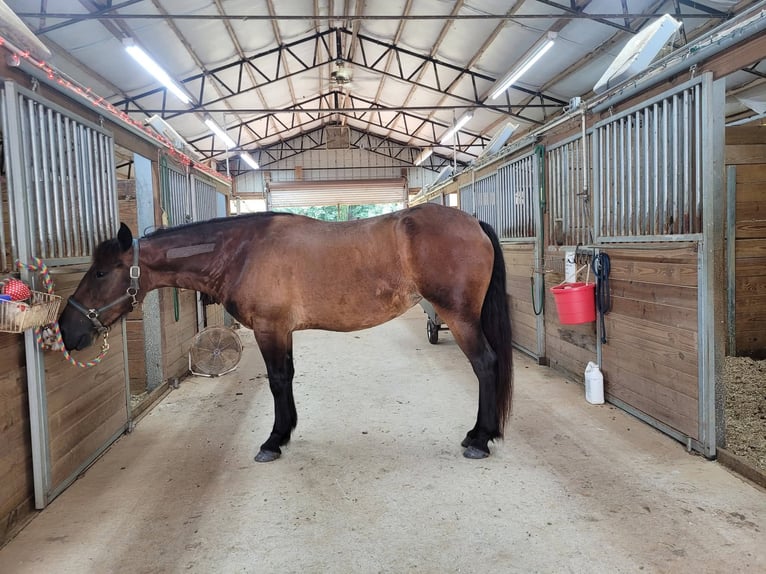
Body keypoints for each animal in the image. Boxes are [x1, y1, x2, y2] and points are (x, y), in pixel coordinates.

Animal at [58, 203, 513, 462]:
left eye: (101, 273)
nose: (66, 328)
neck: (242, 251)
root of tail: (473, 222)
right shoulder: (282, 331)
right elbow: (288, 378)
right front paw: (287, 431)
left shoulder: (269, 329)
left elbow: (277, 380)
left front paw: (273, 441)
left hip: (460, 317)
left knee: (486, 365)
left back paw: (479, 438)